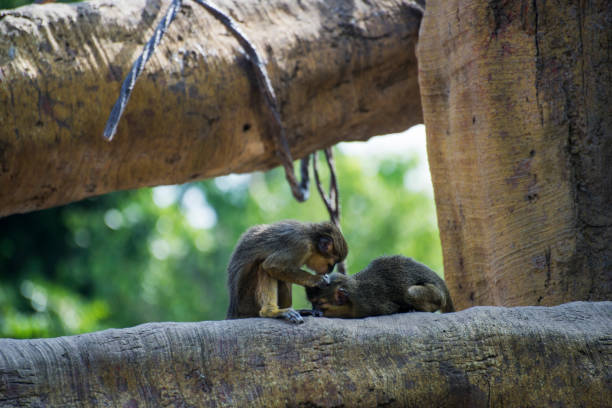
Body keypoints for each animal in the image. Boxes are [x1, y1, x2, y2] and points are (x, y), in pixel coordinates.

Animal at [306, 255, 454, 318]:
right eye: (313, 304)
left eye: (319, 304)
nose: (314, 310)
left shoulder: (368, 305)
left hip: (437, 296)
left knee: (410, 292)